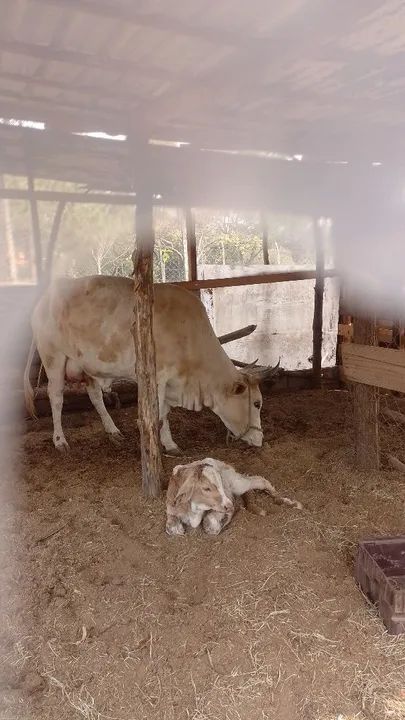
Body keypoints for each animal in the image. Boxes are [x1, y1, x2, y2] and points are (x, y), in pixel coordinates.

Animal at [23, 276, 279, 454]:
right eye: (257, 403)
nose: (260, 439)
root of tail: (43, 300)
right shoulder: (157, 377)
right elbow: (159, 415)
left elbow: (164, 412)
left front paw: (170, 445)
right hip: (53, 358)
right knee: (56, 397)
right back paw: (60, 441)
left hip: (87, 365)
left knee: (95, 396)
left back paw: (113, 431)